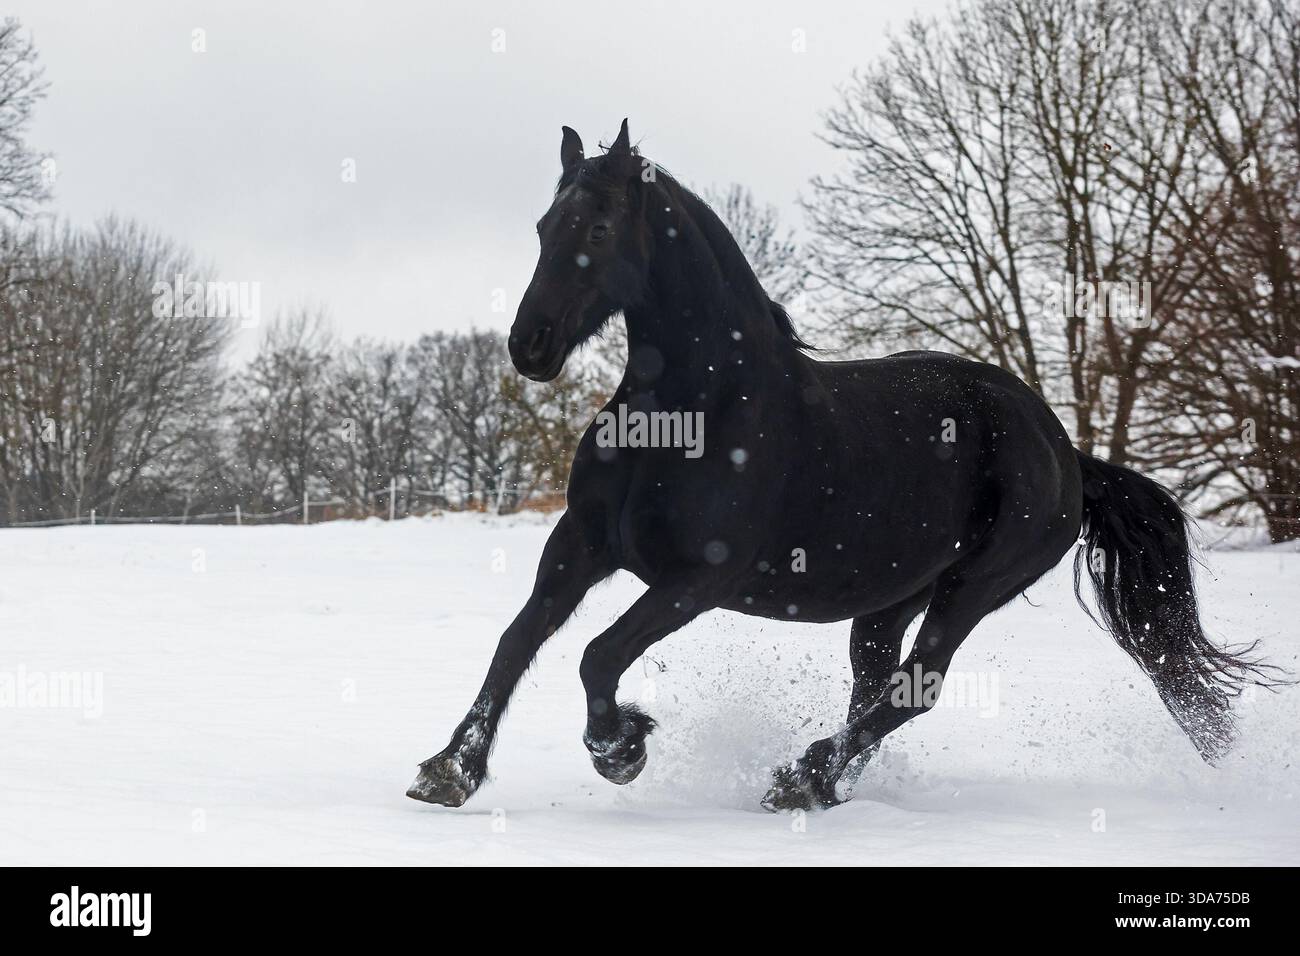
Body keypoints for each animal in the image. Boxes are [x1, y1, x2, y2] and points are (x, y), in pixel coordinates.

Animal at [407, 119, 1279, 811]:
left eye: (598, 226)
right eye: (544, 225)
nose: (530, 347)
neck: (696, 408)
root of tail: (1065, 452)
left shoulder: (699, 578)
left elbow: (597, 655)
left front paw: (624, 747)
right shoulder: (581, 546)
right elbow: (516, 642)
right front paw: (449, 771)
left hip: (974, 588)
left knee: (916, 687)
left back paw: (801, 779)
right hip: (890, 600)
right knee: (879, 688)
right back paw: (822, 783)